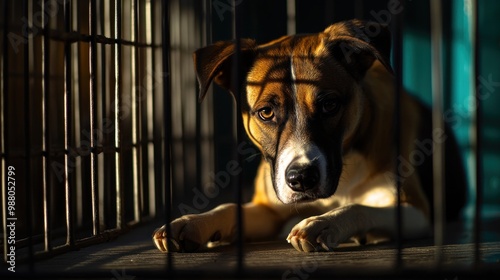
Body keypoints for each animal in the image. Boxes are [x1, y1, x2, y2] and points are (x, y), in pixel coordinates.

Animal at [151, 18, 464, 253]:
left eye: (329, 105)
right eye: (266, 112)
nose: (301, 178)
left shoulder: (415, 210)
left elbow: (358, 206)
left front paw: (324, 223)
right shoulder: (270, 210)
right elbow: (230, 207)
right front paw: (192, 222)